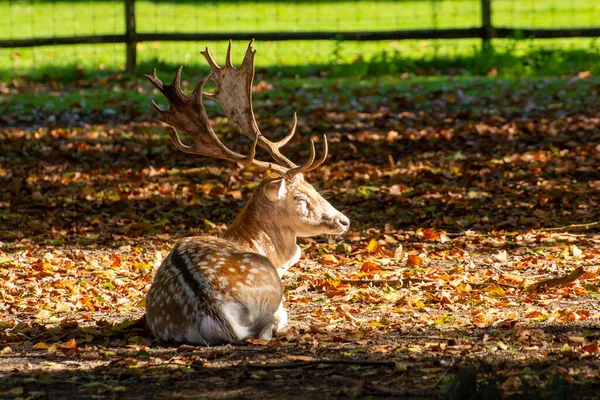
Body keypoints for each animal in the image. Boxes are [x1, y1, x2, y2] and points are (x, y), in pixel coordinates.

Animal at [144, 41, 350, 346]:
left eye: (313, 187)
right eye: (300, 198)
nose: (344, 220)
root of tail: (216, 311)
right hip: (270, 291)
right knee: (267, 327)